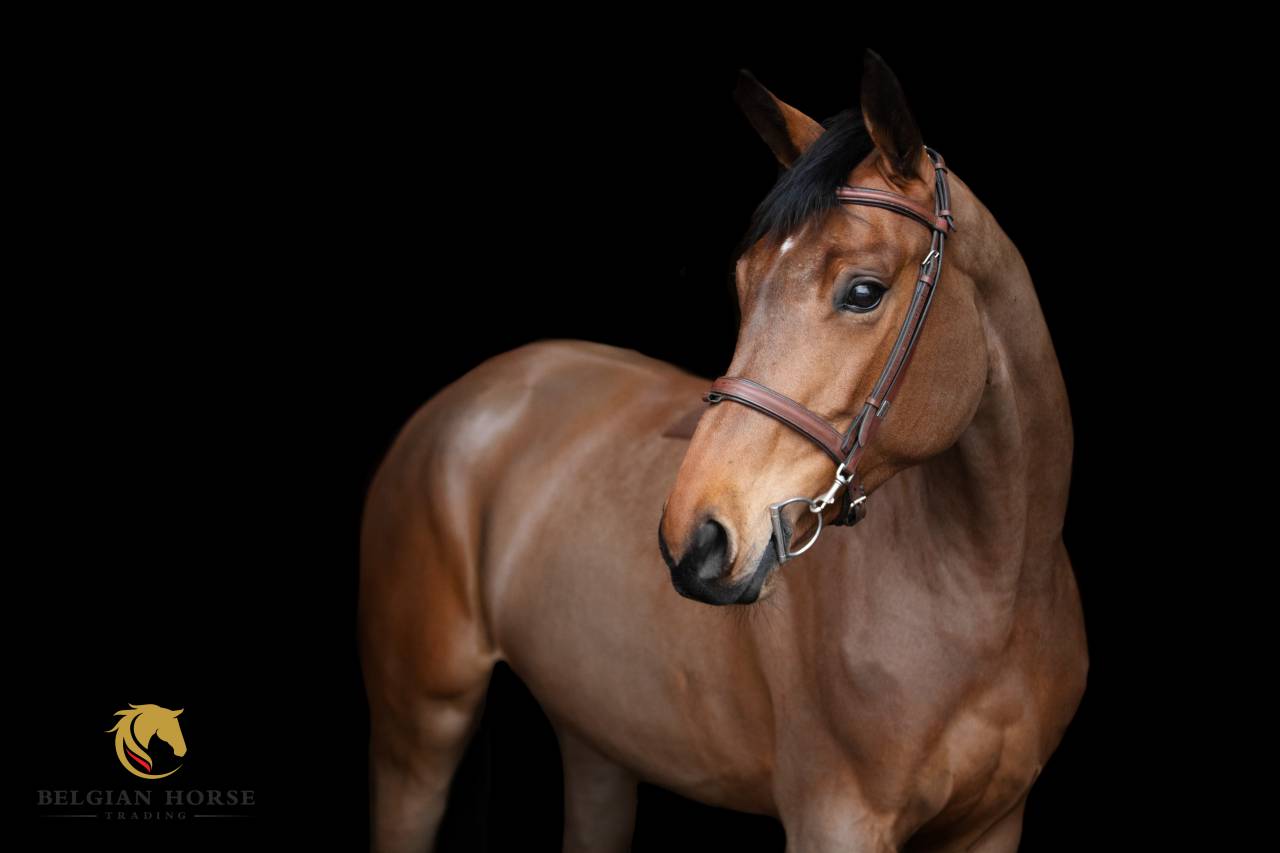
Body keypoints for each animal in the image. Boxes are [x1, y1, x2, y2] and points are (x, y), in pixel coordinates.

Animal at [359, 49, 1087, 852]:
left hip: (597, 741)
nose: (694, 540)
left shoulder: (994, 822)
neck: (992, 595)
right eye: (744, 283)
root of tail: (464, 402)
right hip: (419, 732)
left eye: (864, 291)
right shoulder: (835, 819)